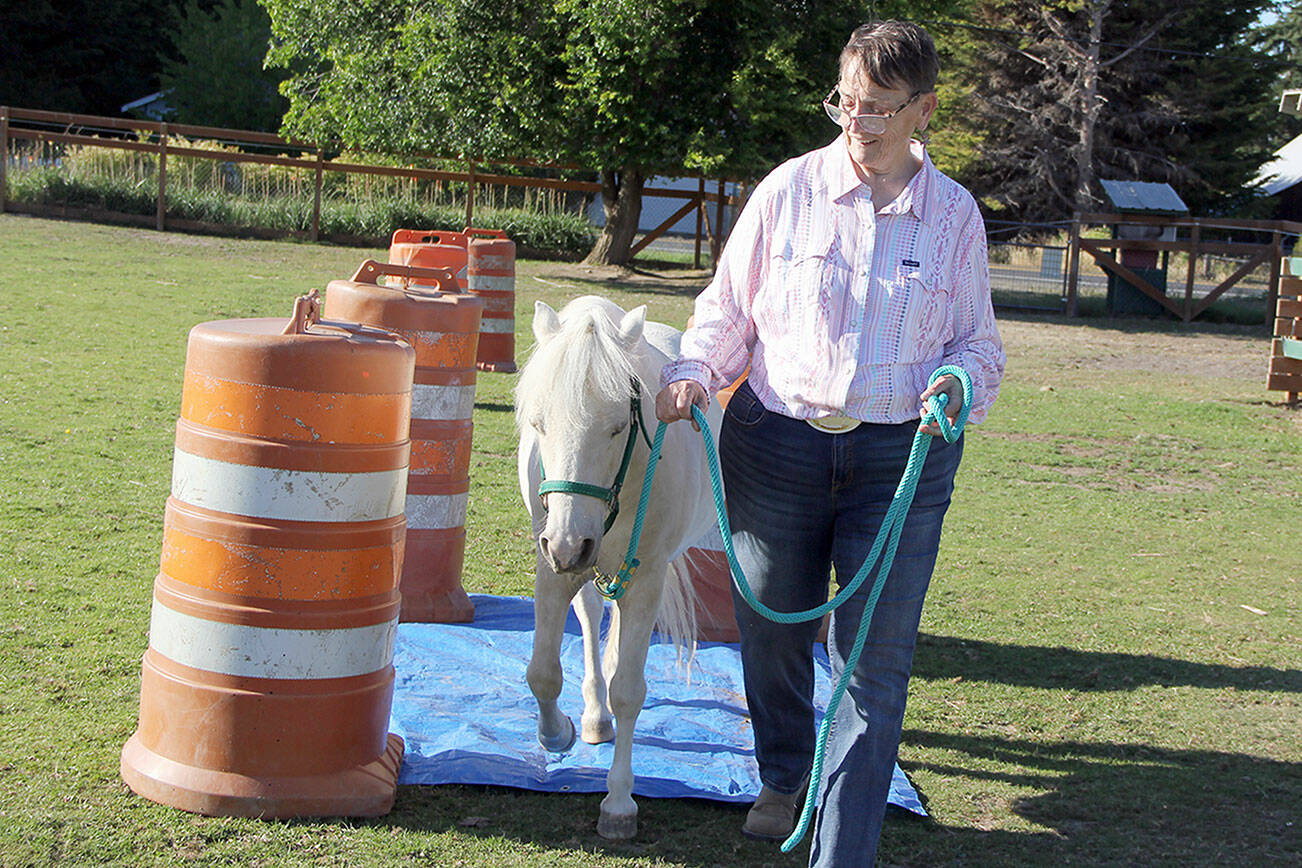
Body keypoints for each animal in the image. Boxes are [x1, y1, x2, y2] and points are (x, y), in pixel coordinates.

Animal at [515, 295, 723, 840]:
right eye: (538, 423)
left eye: (615, 426)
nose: (569, 543)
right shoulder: (553, 566)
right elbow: (542, 672)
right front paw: (557, 734)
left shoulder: (645, 578)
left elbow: (629, 690)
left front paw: (619, 802)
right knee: (590, 618)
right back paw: (593, 716)